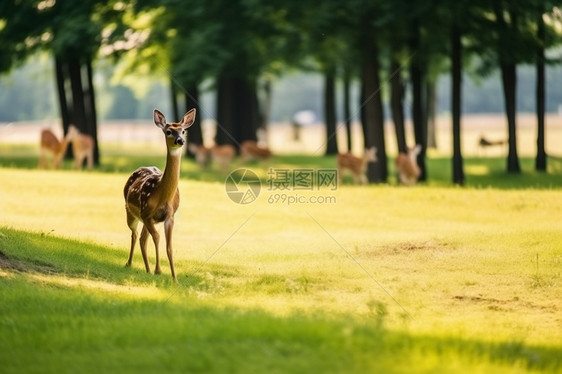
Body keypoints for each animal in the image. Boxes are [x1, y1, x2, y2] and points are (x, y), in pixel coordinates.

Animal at [123, 107, 196, 280]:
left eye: (183, 131)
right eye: (169, 131)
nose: (180, 141)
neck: (163, 196)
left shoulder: (169, 216)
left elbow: (169, 246)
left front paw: (175, 278)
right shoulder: (147, 213)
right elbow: (157, 238)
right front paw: (158, 270)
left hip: (145, 218)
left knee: (142, 238)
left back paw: (147, 269)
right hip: (131, 212)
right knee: (135, 234)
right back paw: (129, 263)